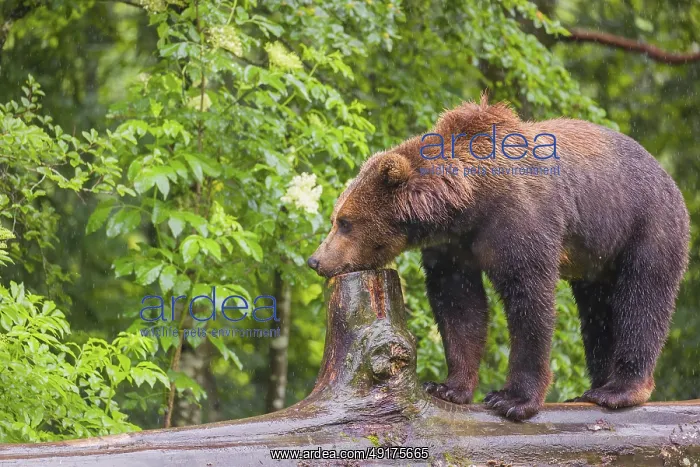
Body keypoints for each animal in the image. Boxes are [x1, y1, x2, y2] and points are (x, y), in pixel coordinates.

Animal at [307, 94, 690, 421]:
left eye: (345, 222)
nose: (316, 261)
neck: (468, 203)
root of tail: (668, 176)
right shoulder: (454, 247)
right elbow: (460, 306)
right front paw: (448, 387)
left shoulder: (520, 223)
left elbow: (528, 300)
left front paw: (513, 399)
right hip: (595, 259)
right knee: (597, 312)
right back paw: (593, 388)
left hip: (644, 227)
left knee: (641, 300)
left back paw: (620, 390)